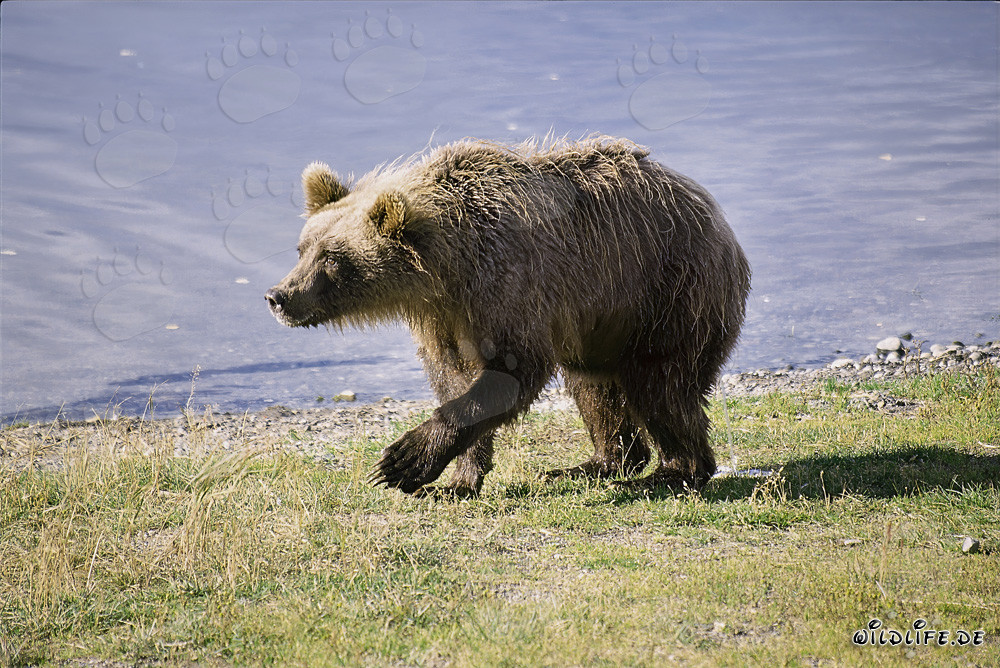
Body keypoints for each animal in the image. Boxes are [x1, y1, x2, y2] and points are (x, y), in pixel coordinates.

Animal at [266, 136, 751, 497]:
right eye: (303, 248)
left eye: (331, 259)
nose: (279, 296)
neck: (449, 267)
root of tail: (720, 220)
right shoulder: (441, 317)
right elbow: (451, 377)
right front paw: (455, 480)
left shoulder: (507, 285)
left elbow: (513, 370)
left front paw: (402, 461)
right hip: (601, 326)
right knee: (595, 388)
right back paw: (594, 464)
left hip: (668, 292)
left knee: (660, 384)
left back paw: (672, 472)